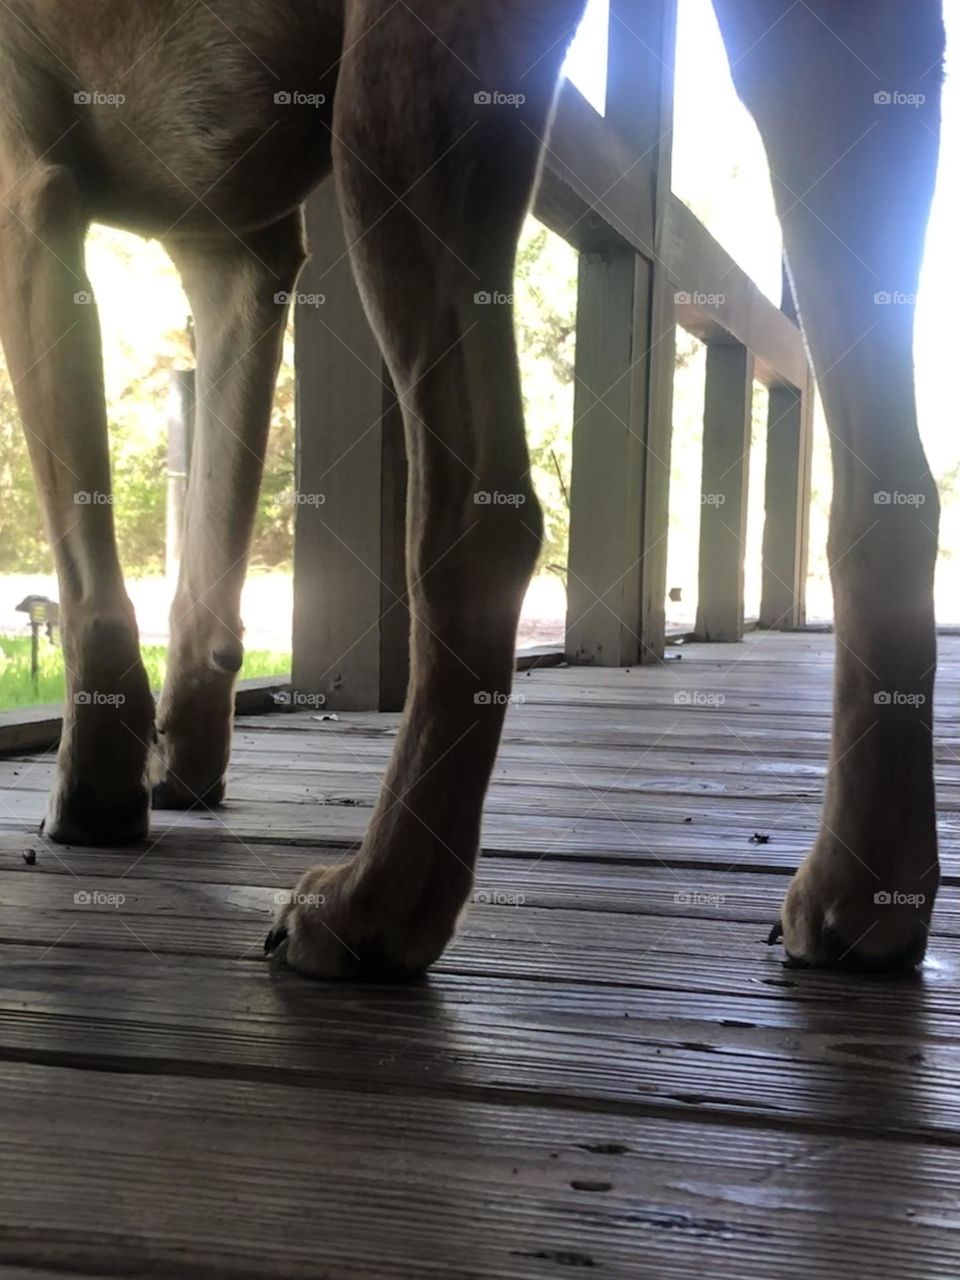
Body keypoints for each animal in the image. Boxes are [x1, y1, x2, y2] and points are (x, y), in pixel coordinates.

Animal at [0, 2, 947, 977]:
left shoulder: (31, 192)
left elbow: (86, 566)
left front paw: (96, 779)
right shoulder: (238, 257)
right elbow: (206, 553)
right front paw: (179, 755)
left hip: (402, 99)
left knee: (480, 513)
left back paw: (380, 895)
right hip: (829, 71)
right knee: (889, 494)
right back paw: (866, 883)